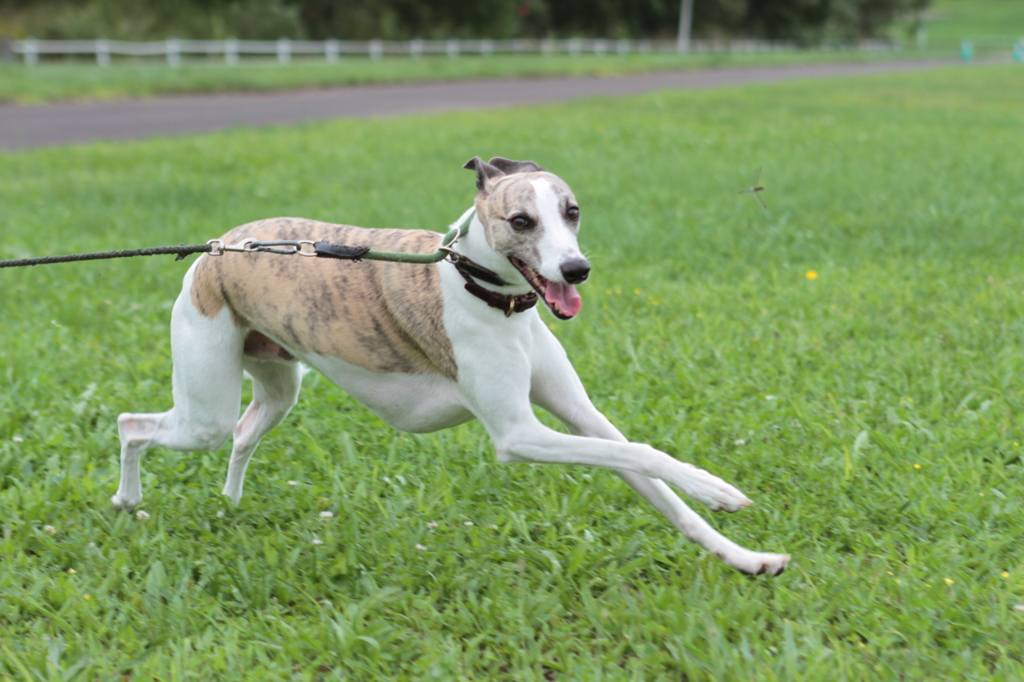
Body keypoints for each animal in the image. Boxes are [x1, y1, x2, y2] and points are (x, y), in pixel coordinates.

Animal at [110, 155, 790, 573]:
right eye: (522, 220)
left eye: (571, 211)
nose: (576, 271)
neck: (489, 293)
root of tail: (217, 246)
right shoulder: (519, 435)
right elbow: (643, 453)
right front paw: (719, 489)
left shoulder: (580, 416)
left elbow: (649, 475)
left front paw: (746, 556)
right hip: (203, 405)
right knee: (134, 425)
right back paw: (126, 499)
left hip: (278, 386)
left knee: (244, 435)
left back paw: (229, 504)